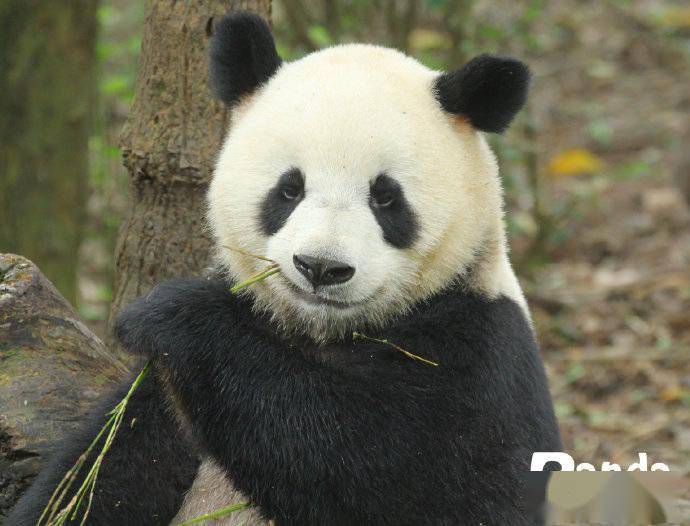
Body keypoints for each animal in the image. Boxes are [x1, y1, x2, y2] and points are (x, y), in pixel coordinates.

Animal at [8, 9, 560, 526]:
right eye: (289, 188)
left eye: (385, 197)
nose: (321, 267)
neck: (318, 331)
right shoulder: (168, 397)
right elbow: (106, 473)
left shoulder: (478, 352)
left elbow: (397, 473)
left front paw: (173, 314)